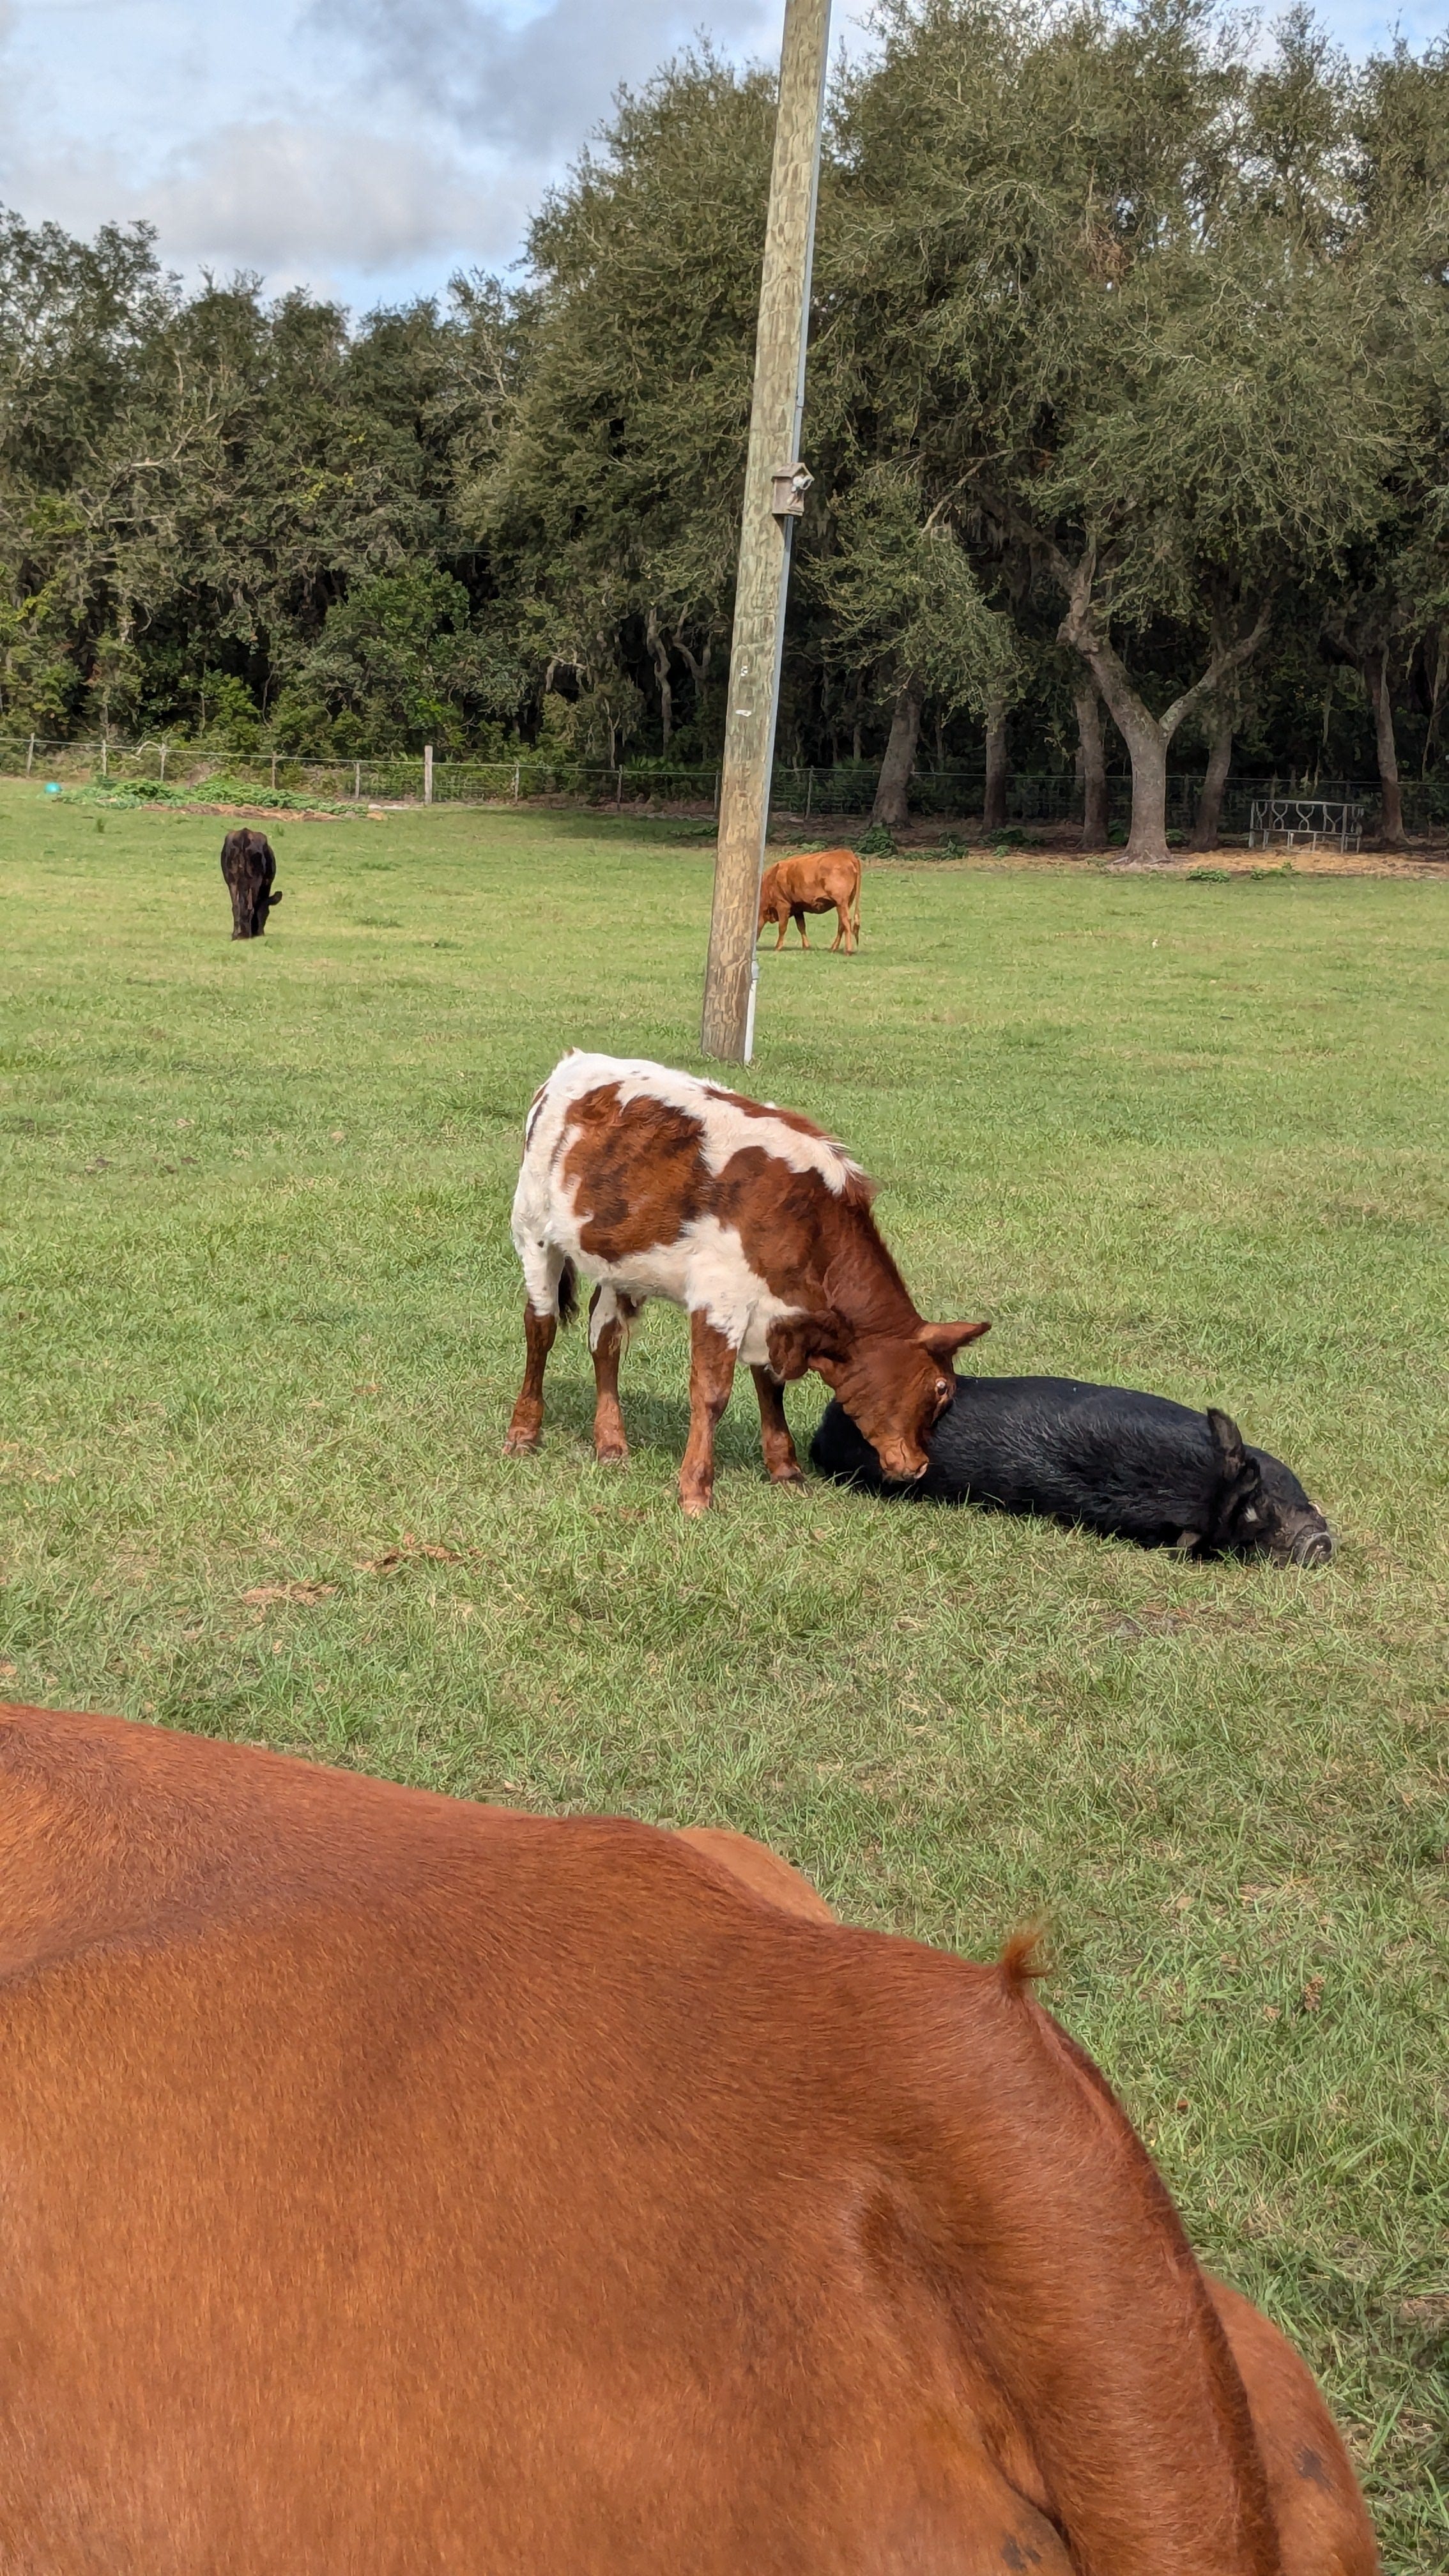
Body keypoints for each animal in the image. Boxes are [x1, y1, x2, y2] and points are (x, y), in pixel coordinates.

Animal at [220, 828, 282, 939]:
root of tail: (244, 834)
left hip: (231, 880)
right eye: (268, 913)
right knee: (251, 907)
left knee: (236, 907)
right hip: (255, 880)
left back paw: (236, 935)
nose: (260, 933)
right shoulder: (266, 884)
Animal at [505, 1050, 989, 1512]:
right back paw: (524, 1432)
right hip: (533, 1229)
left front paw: (786, 1471)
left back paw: (611, 1443)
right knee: (541, 1327)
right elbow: (712, 1394)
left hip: (618, 1262)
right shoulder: (720, 1299)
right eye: (941, 1389)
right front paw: (696, 1492)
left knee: (604, 1338)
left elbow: (771, 1388)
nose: (919, 1466)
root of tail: (574, 1064)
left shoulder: (773, 1313)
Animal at [757, 847, 861, 953]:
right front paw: (806, 946)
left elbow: (782, 927)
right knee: (841, 924)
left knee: (846, 921)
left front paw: (778, 947)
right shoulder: (797, 908)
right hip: (845, 903)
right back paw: (833, 948)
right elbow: (801, 926)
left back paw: (848, 950)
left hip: (841, 902)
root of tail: (846, 854)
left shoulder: (783, 905)